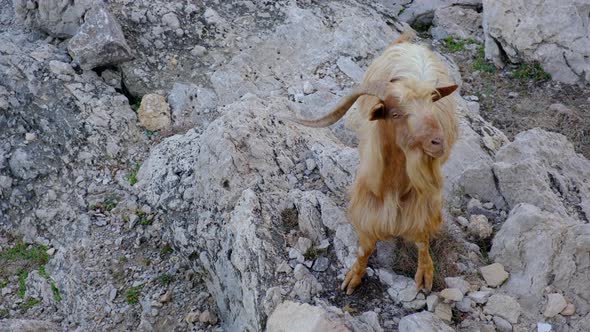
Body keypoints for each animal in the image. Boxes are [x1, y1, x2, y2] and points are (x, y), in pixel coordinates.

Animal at [290, 31, 460, 294]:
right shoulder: (368, 203)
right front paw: (354, 277)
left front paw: (425, 274)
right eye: (396, 113)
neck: (395, 185)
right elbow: (365, 247)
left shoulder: (424, 200)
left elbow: (422, 238)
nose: (437, 142)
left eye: (431, 106)